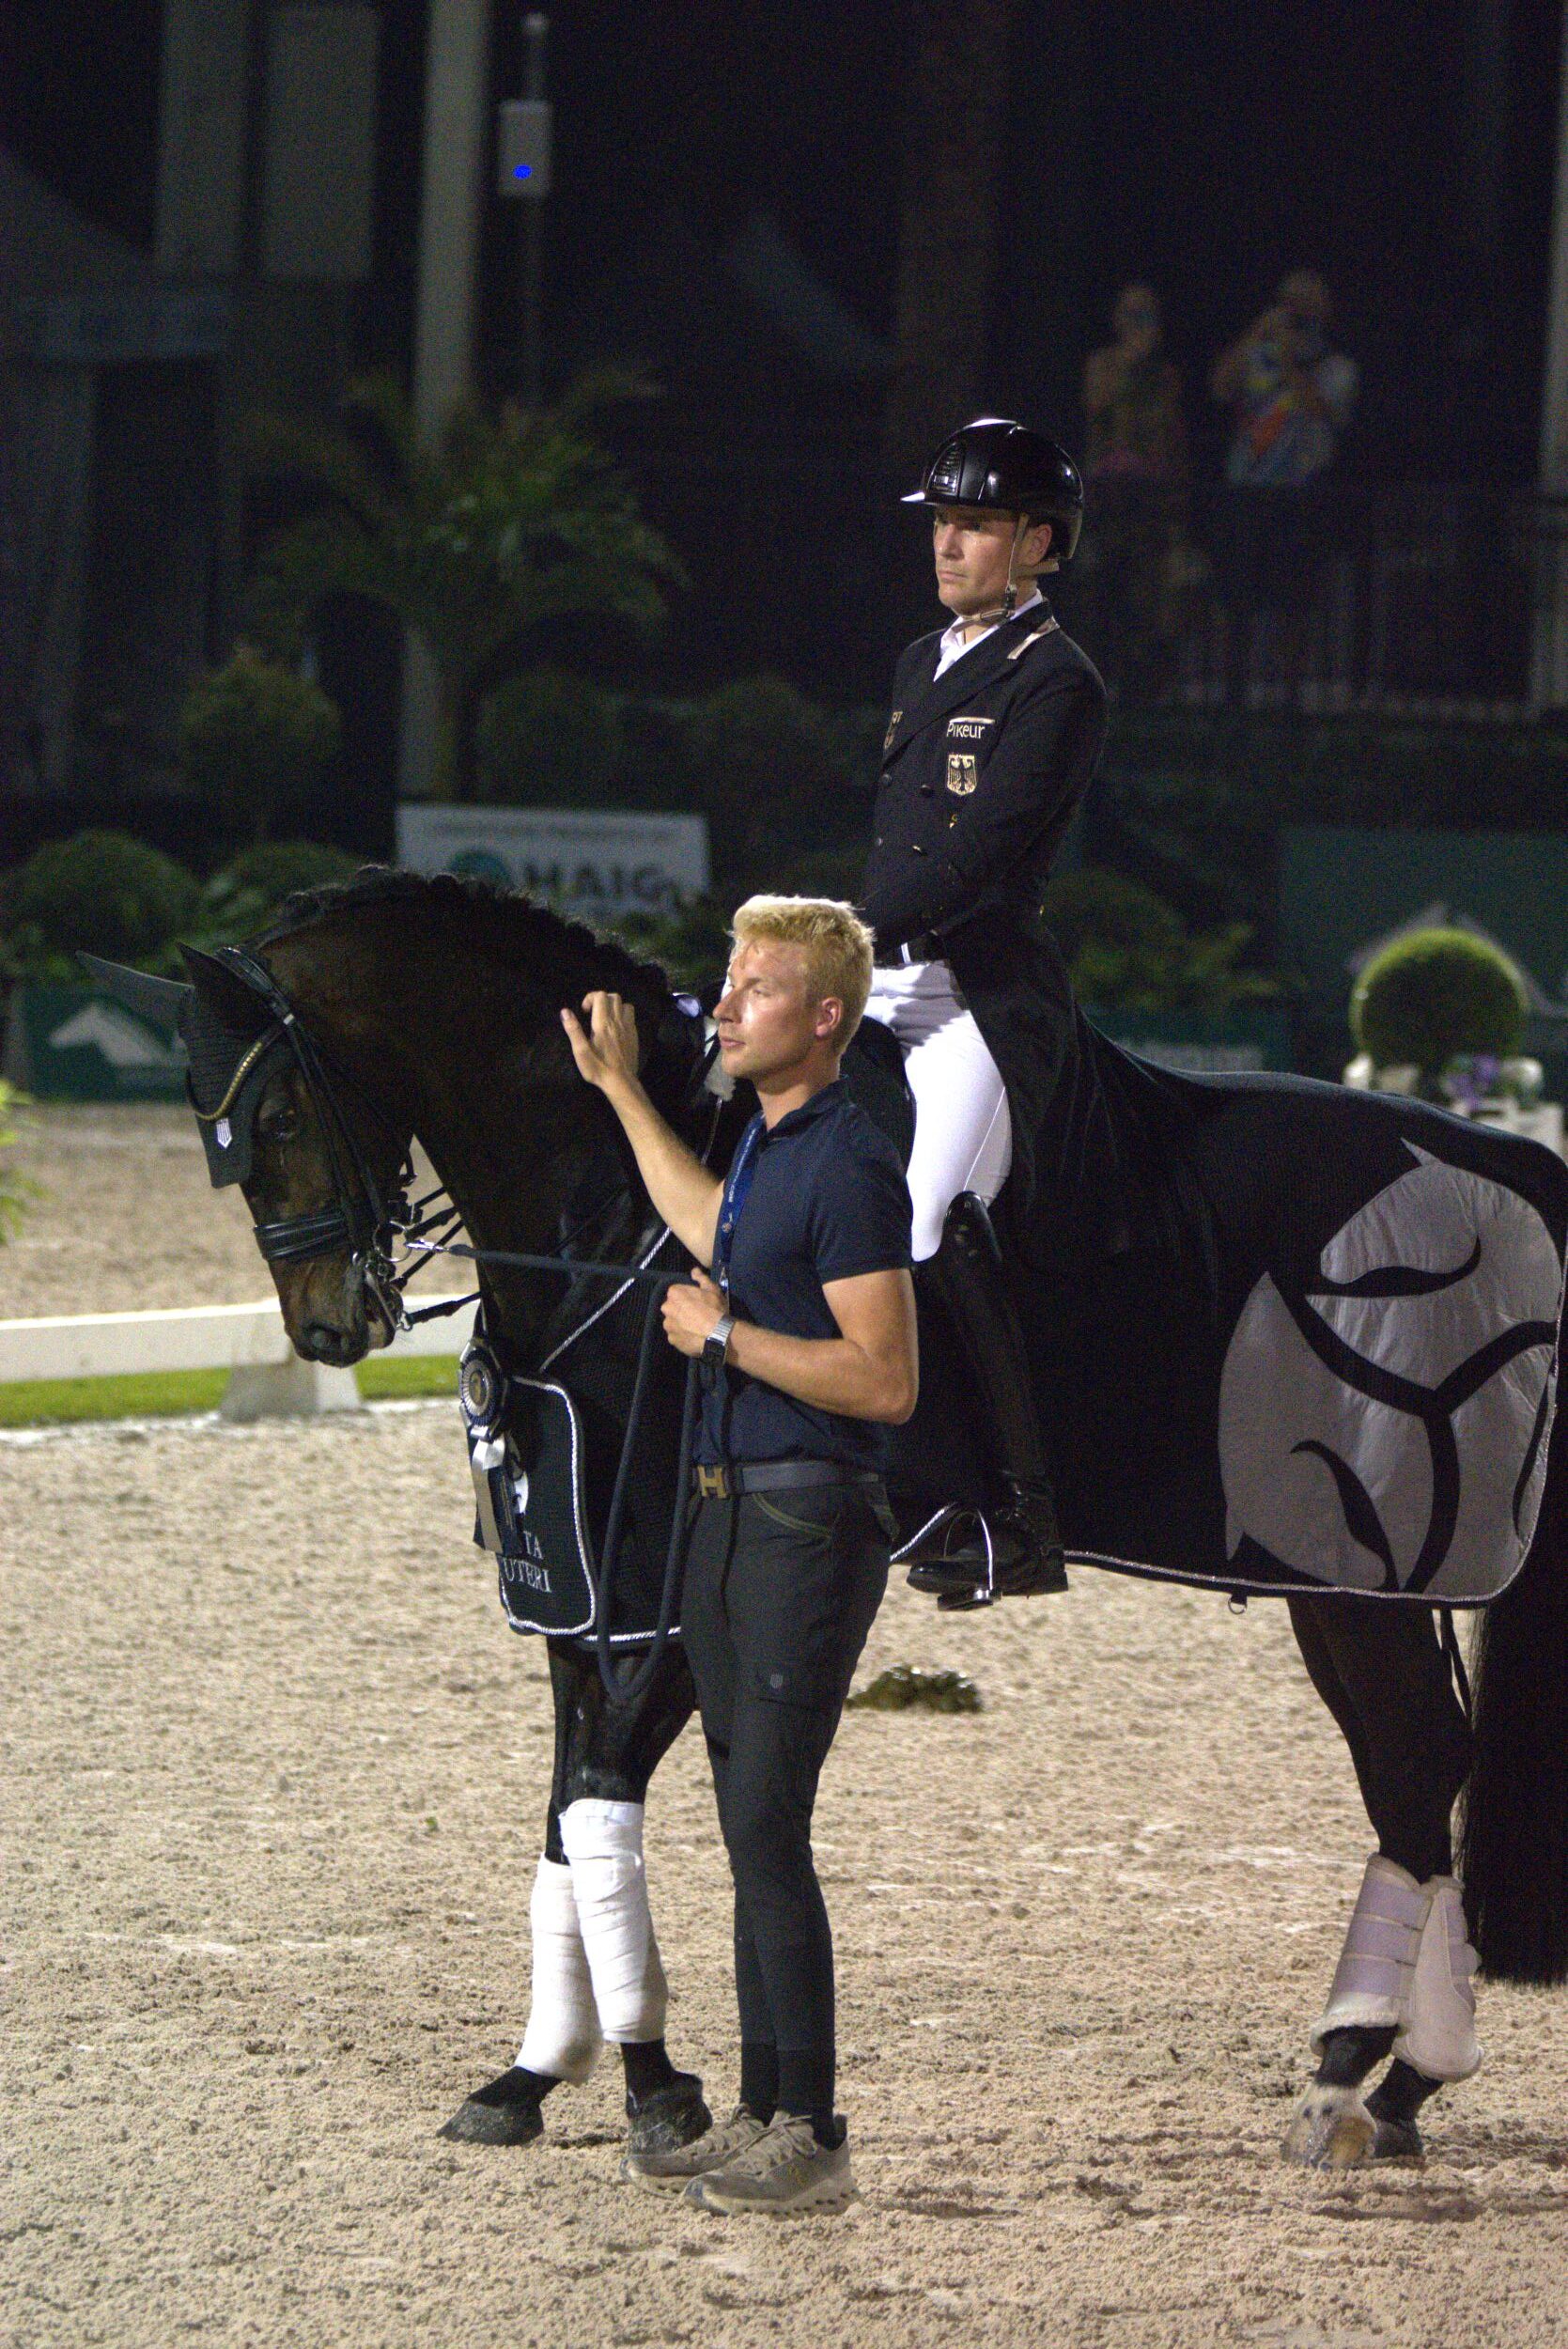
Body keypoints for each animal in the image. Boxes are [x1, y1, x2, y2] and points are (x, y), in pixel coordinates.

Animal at [87, 863, 1568, 2172]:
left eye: (278, 1118)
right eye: (214, 1140)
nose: (329, 1329)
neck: (622, 1208)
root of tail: (1513, 1169)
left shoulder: (666, 1599)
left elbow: (602, 1799)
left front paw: (651, 2087)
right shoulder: (587, 1595)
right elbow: (565, 1813)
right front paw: (533, 2074)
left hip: (1366, 1565)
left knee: (1415, 1771)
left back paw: (1372, 2077)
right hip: (1345, 1585)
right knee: (1411, 1778)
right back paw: (1386, 2082)